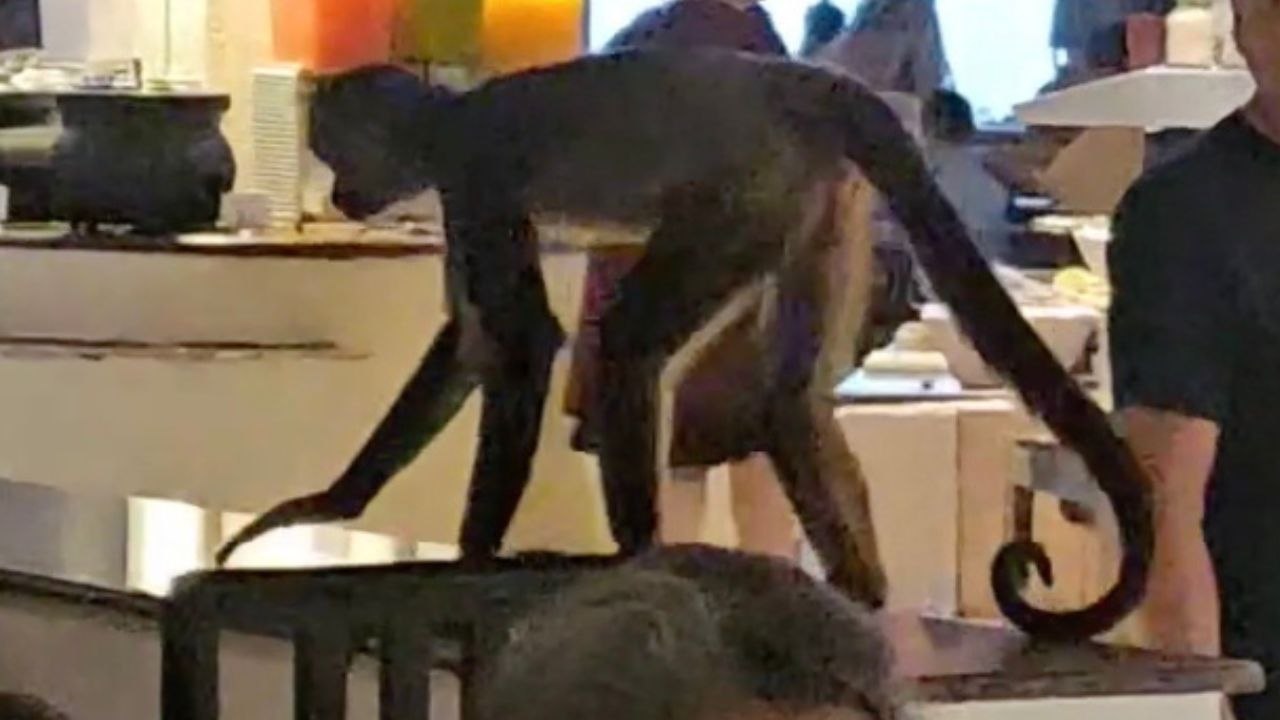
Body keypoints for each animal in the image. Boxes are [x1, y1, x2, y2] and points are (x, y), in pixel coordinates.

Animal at [214, 48, 1152, 641]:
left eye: (338, 154)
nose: (341, 194)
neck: (453, 118)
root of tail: (798, 84)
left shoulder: (473, 172)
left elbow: (520, 344)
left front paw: (469, 565)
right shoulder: (457, 191)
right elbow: (475, 341)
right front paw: (332, 503)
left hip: (749, 188)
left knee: (628, 343)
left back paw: (634, 559)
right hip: (815, 195)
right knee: (790, 401)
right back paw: (859, 595)